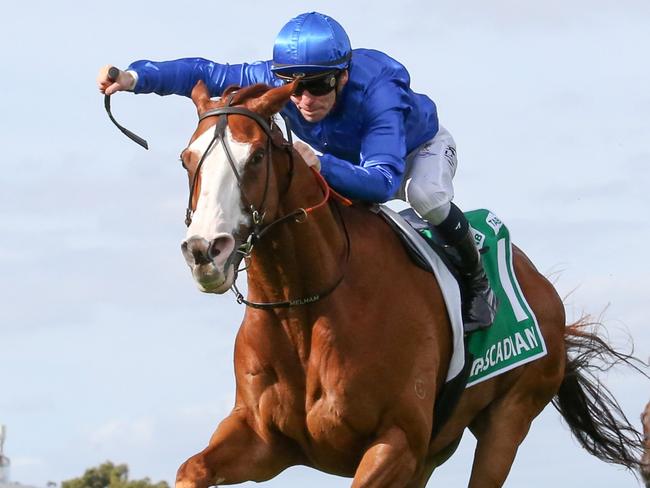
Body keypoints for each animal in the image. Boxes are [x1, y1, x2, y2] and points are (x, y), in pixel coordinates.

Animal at [170, 82, 640, 486]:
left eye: (256, 157)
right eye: (186, 159)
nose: (205, 251)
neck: (302, 308)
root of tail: (544, 290)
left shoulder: (397, 442)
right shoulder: (264, 441)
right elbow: (192, 469)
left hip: (508, 420)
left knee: (430, 197)